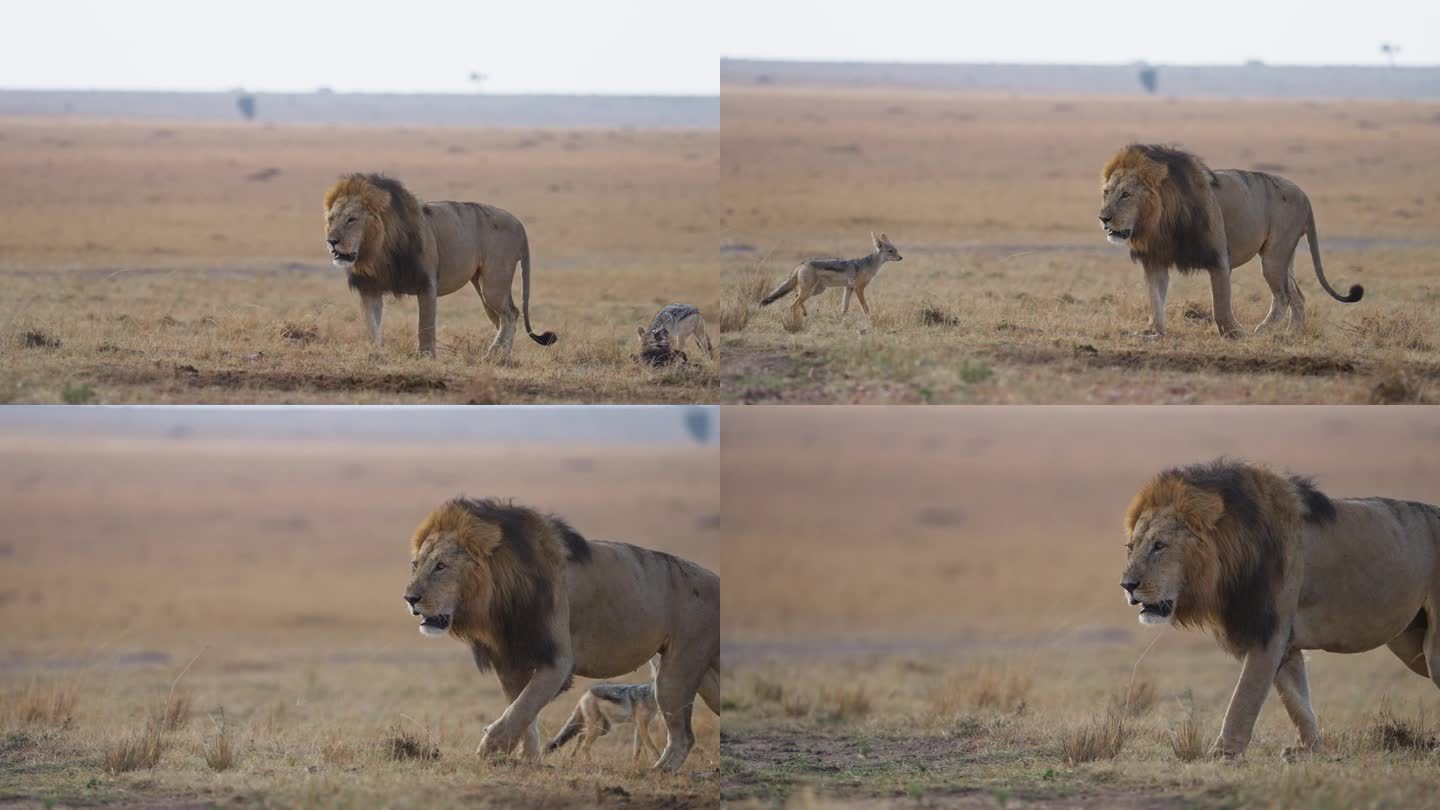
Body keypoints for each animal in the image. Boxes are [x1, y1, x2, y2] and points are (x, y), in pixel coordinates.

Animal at [325, 173, 555, 355]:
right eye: (331, 219)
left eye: (352, 219)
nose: (331, 241)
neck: (376, 252)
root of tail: (519, 224)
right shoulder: (370, 287)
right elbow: (371, 324)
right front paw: (376, 355)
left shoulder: (427, 283)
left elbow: (425, 326)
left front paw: (426, 357)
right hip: (484, 287)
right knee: (505, 317)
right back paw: (502, 356)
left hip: (494, 283)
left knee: (510, 315)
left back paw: (493, 356)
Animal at [403, 495, 717, 766]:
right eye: (415, 565)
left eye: (441, 566)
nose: (410, 598)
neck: (497, 600)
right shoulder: (510, 661)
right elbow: (523, 713)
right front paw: (529, 761)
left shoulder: (557, 661)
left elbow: (521, 708)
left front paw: (490, 748)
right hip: (701, 677)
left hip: (675, 673)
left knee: (683, 737)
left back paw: (655, 772)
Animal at [1100, 143, 1359, 335]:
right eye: (1106, 192)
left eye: (1126, 194)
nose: (1103, 218)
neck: (1160, 222)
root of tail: (1305, 196)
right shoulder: (1155, 259)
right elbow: (1156, 298)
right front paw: (1153, 331)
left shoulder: (1218, 257)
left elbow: (1221, 305)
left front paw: (1234, 334)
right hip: (1286, 257)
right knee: (1298, 296)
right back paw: (1291, 334)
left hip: (1275, 255)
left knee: (1283, 295)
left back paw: (1262, 331)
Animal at [1123, 461, 1440, 755]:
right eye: (1130, 547)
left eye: (1160, 545)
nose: (1126, 585)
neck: (1229, 560)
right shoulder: (1284, 643)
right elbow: (1298, 702)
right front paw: (1311, 751)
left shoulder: (1269, 633)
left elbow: (1244, 697)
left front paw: (1222, 753)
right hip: (1408, 642)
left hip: (1433, 651)